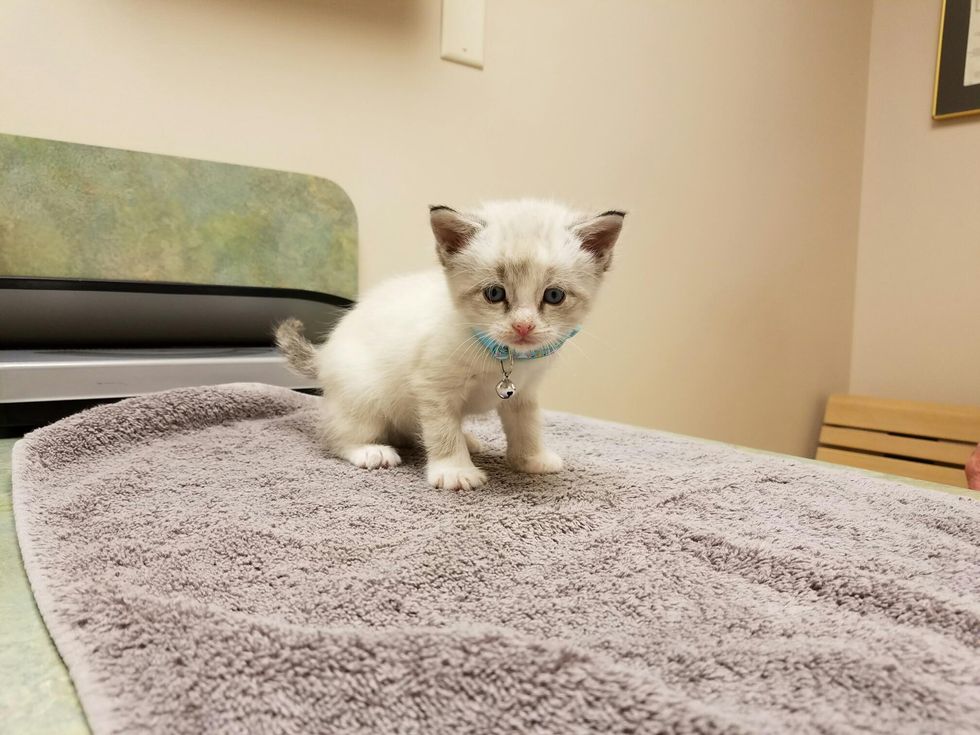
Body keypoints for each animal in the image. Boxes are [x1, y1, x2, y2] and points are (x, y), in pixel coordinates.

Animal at [276, 199, 624, 490]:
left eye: (554, 296)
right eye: (494, 294)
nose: (523, 326)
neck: (501, 354)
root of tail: (324, 355)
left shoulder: (523, 392)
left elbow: (527, 424)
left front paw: (530, 459)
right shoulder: (432, 385)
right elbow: (442, 430)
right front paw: (455, 471)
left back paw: (465, 438)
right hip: (363, 395)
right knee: (338, 435)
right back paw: (369, 451)